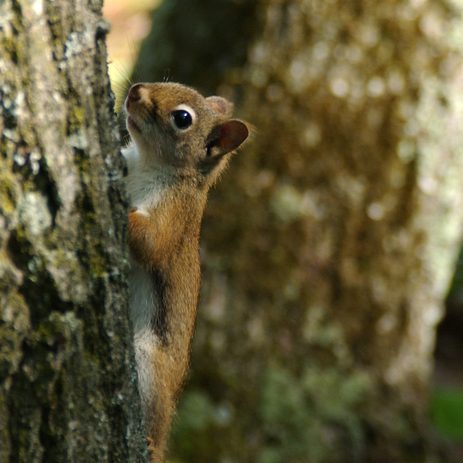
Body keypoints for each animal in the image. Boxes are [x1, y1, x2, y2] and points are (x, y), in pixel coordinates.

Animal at [121, 81, 248, 462]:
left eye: (182, 119)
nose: (135, 90)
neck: (148, 162)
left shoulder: (176, 212)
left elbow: (151, 242)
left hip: (149, 362)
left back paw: (150, 442)